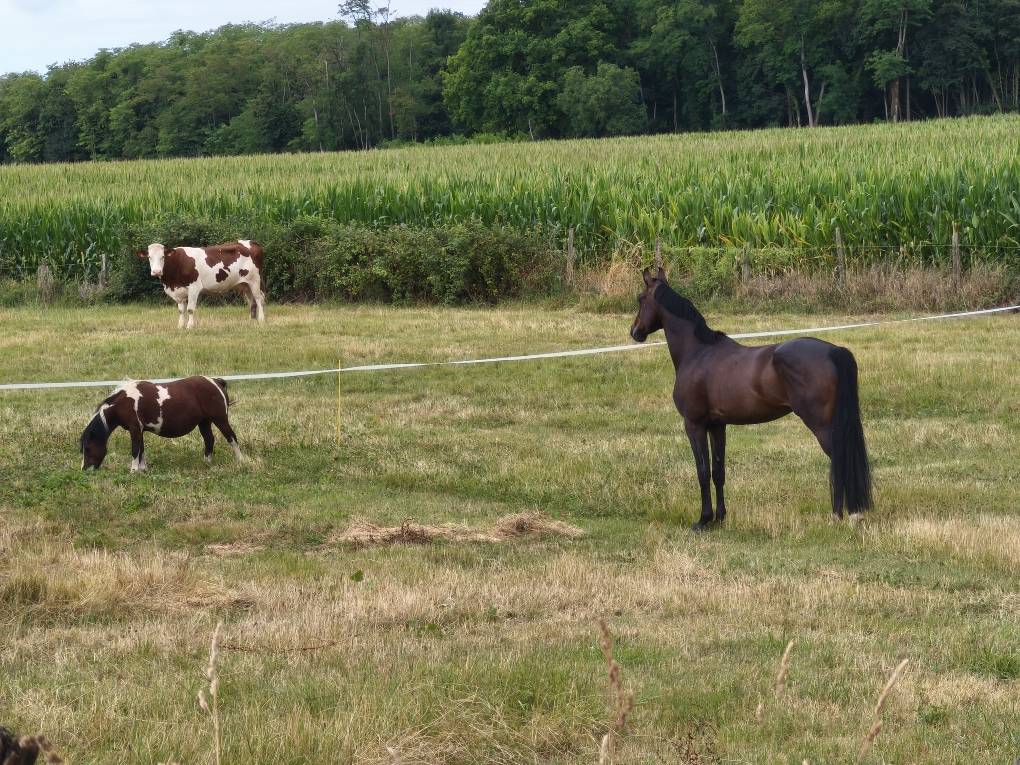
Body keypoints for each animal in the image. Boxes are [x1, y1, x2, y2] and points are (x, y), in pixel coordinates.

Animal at [80, 376, 243, 471]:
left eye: (87, 448)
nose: (85, 469)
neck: (124, 402)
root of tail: (216, 381)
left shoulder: (135, 428)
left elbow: (135, 450)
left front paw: (133, 471)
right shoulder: (140, 430)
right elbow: (141, 449)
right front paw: (142, 469)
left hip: (220, 419)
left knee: (231, 437)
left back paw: (241, 461)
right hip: (204, 422)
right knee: (209, 440)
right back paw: (206, 463)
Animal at [630, 267, 872, 530]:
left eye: (641, 299)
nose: (635, 332)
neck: (698, 353)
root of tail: (834, 350)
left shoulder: (694, 425)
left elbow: (702, 472)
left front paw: (703, 520)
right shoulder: (717, 426)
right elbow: (718, 472)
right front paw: (719, 518)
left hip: (822, 427)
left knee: (839, 461)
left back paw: (838, 515)